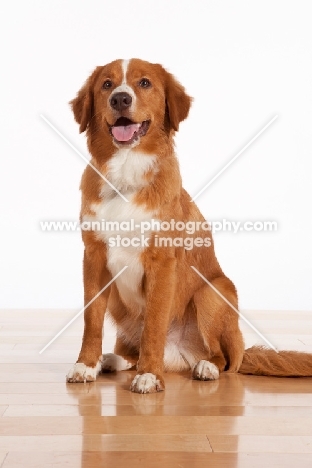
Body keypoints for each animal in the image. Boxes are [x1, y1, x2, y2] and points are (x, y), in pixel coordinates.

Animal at [67, 59, 312, 394]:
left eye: (144, 83)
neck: (126, 173)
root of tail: (180, 356)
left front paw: (150, 375)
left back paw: (205, 367)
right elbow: (91, 319)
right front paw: (85, 365)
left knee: (226, 360)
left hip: (213, 291)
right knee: (130, 350)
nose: (120, 99)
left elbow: (154, 323)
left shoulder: (162, 263)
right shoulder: (94, 257)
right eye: (107, 85)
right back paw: (113, 360)